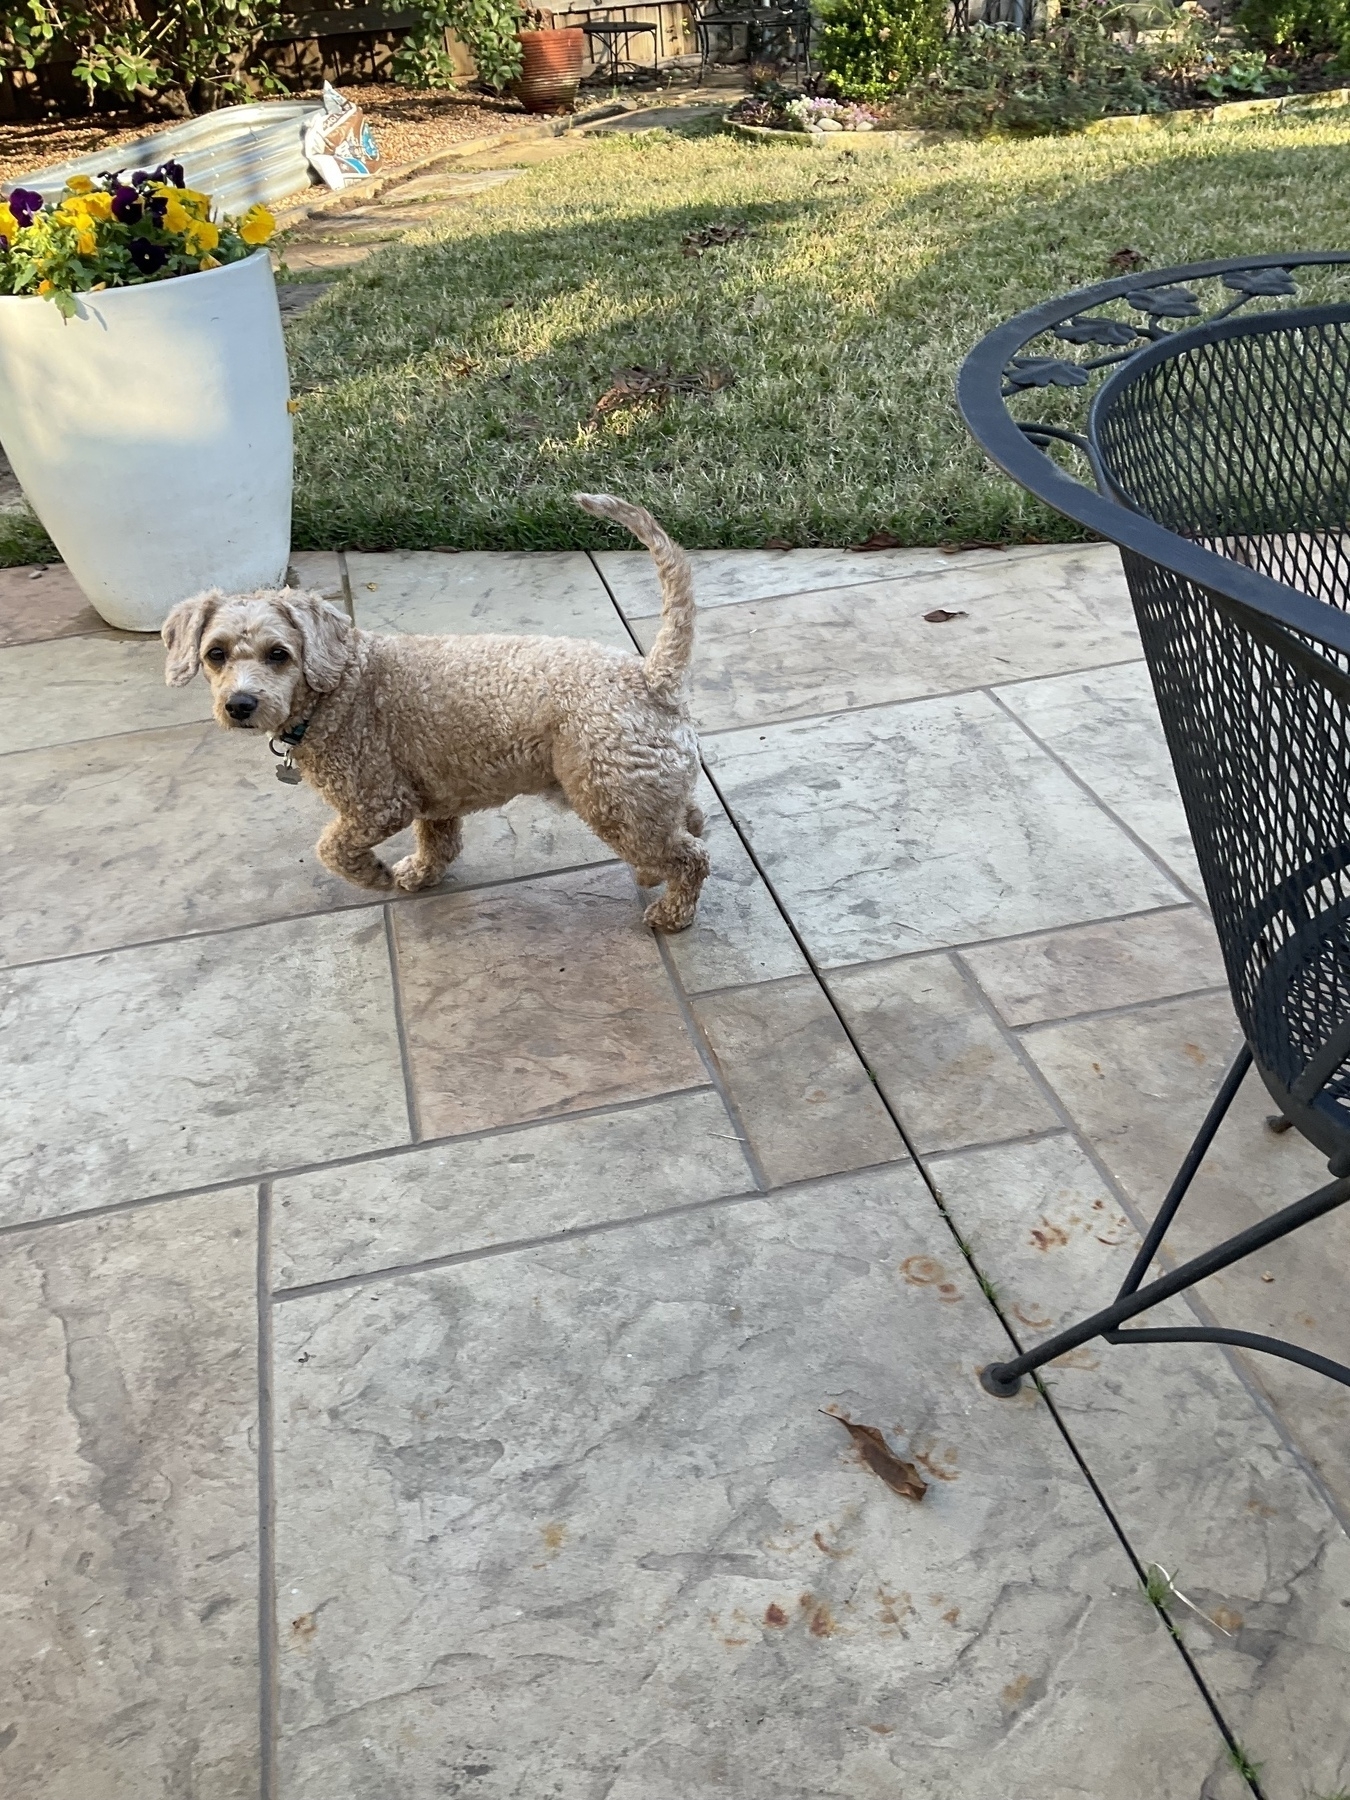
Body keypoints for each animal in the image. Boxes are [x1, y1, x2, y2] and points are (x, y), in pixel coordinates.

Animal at [163, 500, 712, 936]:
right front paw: (421, 874)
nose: (239, 705)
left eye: (278, 654)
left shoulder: (380, 802)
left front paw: (376, 875)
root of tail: (650, 674)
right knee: (690, 818)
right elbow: (439, 842)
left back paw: (671, 912)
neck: (339, 686)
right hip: (640, 784)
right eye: (215, 654)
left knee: (690, 855)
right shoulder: (435, 795)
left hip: (611, 797)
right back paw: (656, 871)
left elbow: (332, 848)